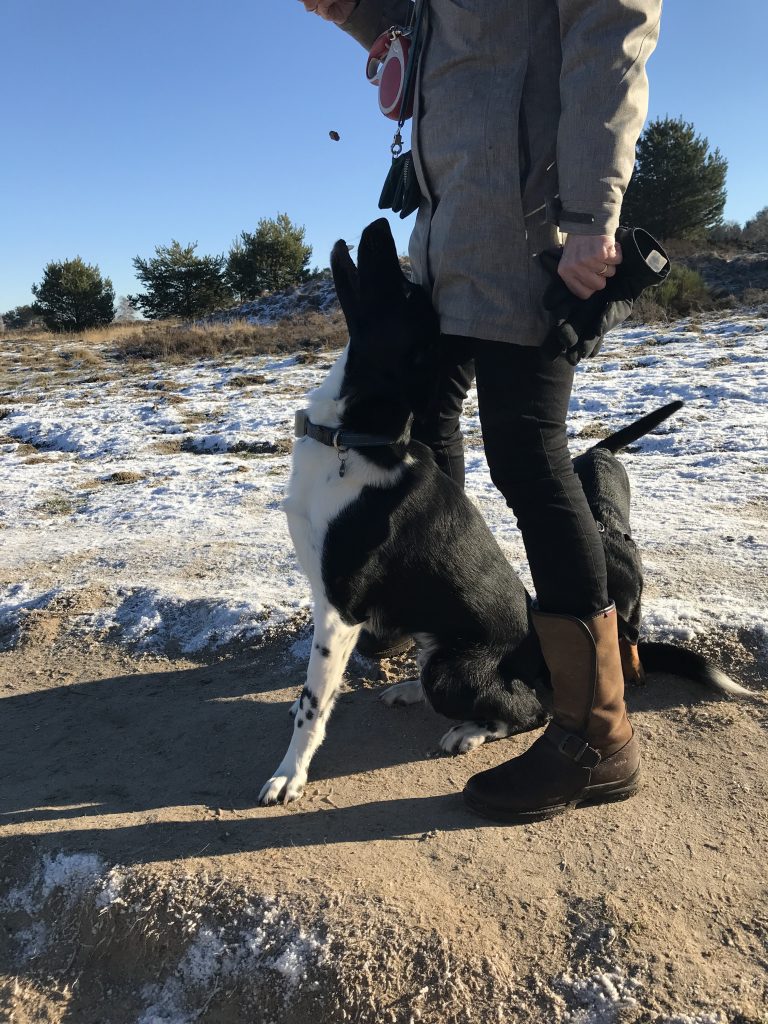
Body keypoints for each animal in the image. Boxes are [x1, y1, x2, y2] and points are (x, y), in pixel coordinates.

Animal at [259, 218, 745, 806]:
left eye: (404, 294)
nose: (380, 225)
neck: (353, 438)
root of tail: (540, 649)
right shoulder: (324, 598)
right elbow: (315, 688)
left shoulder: (341, 607)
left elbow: (313, 706)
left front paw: (290, 772)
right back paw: (409, 690)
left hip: (452, 668)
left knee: (528, 710)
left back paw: (469, 731)